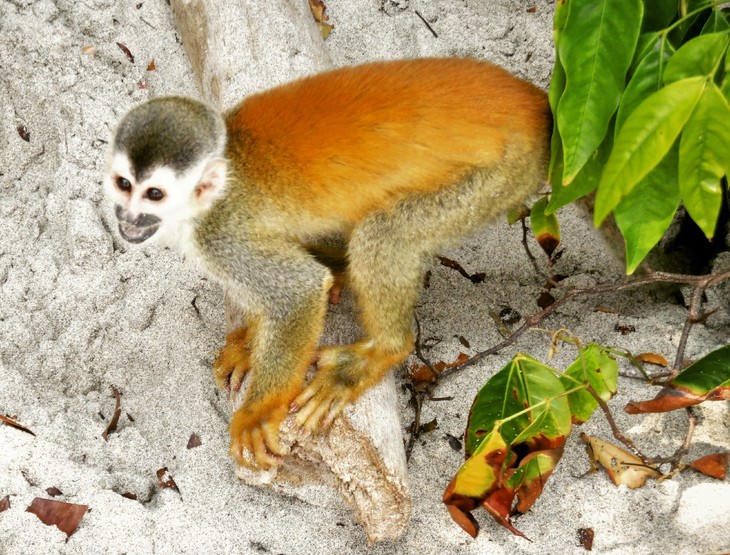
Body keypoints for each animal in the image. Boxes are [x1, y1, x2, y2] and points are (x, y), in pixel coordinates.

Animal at [101, 58, 544, 470]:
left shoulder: (219, 232)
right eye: (124, 185)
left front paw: (257, 413)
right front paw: (248, 343)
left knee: (383, 234)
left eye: (154, 194)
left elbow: (299, 289)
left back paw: (379, 352)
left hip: (496, 180)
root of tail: (532, 102)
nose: (127, 218)